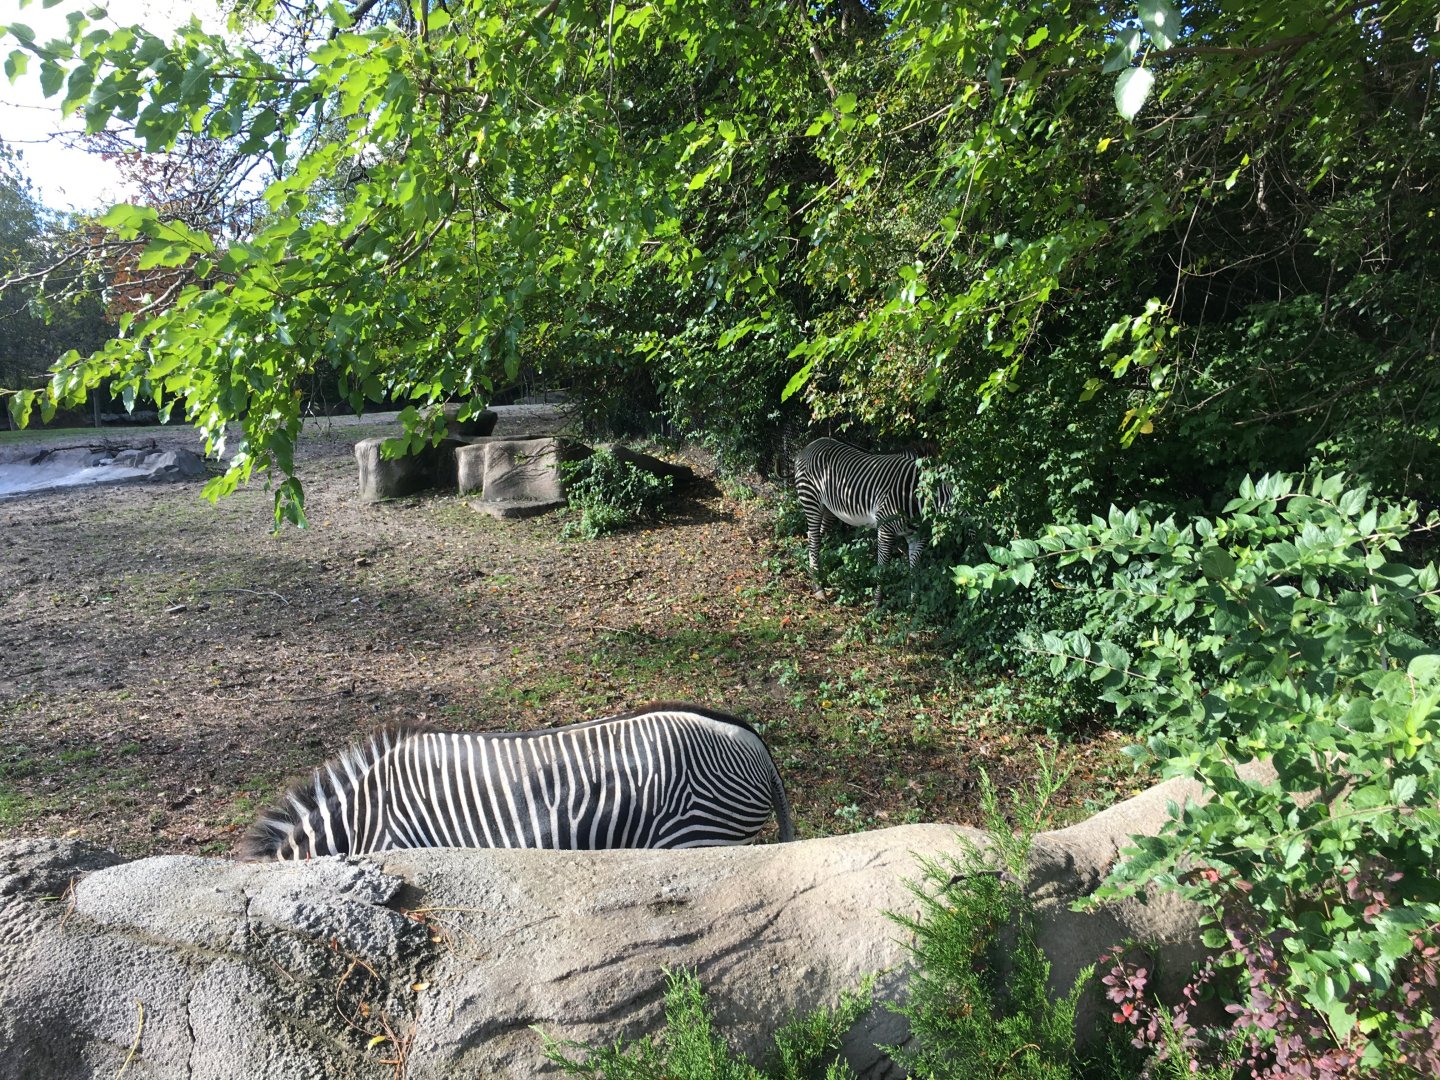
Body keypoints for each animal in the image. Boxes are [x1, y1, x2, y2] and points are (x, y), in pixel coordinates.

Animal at [794, 437, 953, 602]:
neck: (911, 497)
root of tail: (811, 445)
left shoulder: (917, 537)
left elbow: (915, 571)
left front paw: (913, 602)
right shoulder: (885, 529)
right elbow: (882, 567)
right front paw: (877, 603)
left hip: (828, 510)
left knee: (815, 536)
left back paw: (816, 578)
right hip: (811, 500)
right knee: (814, 539)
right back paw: (819, 588)